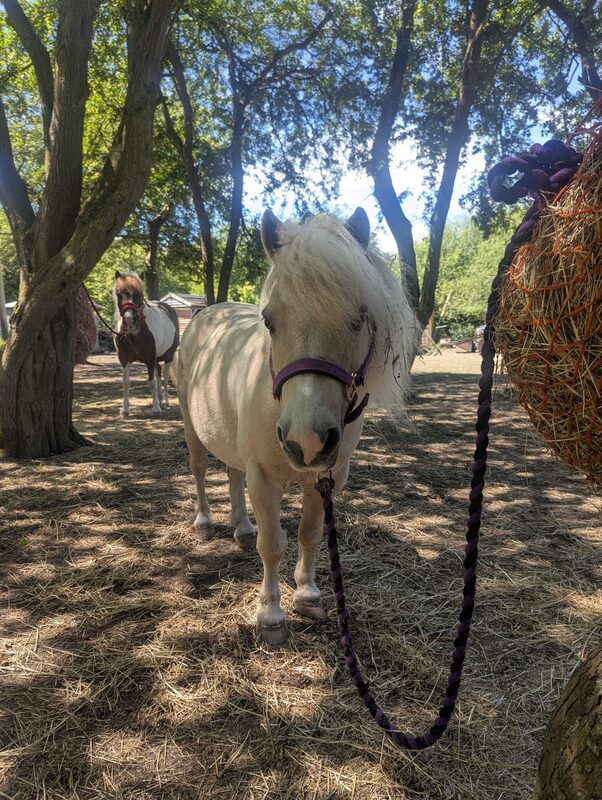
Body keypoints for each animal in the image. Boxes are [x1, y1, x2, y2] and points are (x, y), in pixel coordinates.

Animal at [112, 271, 180, 417]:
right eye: (119, 294)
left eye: (140, 295)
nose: (129, 321)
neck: (134, 335)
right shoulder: (124, 360)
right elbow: (126, 383)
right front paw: (125, 409)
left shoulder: (149, 359)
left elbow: (152, 382)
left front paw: (156, 408)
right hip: (156, 360)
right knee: (159, 373)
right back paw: (159, 399)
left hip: (169, 357)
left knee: (165, 376)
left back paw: (165, 401)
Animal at [177, 208, 417, 645]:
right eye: (269, 321)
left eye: (360, 319)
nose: (306, 439)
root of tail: (209, 310)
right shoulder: (262, 477)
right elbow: (273, 544)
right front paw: (270, 615)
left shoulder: (328, 477)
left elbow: (310, 533)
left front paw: (307, 594)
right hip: (191, 424)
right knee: (201, 469)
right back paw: (205, 521)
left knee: (232, 473)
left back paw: (242, 527)